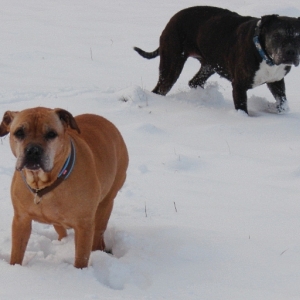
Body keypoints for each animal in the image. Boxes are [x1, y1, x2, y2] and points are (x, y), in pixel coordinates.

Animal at [0, 106, 127, 268]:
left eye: (51, 134)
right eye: (19, 132)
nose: (33, 150)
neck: (43, 184)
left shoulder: (84, 224)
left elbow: (81, 257)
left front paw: (80, 271)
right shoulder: (21, 220)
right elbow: (17, 252)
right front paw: (15, 268)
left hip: (107, 201)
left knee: (99, 230)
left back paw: (98, 249)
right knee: (61, 229)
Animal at [135, 6, 300, 113]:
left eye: (298, 36)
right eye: (277, 35)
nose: (290, 52)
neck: (265, 55)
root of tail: (173, 18)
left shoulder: (277, 82)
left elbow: (283, 103)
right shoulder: (239, 86)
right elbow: (242, 109)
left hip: (209, 65)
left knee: (195, 82)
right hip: (171, 65)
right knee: (160, 89)